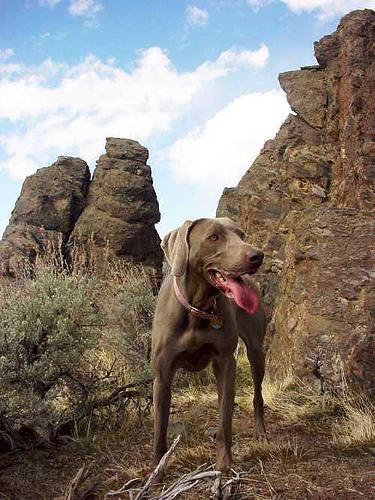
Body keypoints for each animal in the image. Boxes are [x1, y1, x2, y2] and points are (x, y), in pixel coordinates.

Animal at [152, 217, 268, 470]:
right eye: (213, 237)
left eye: (241, 235)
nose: (257, 255)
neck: (198, 309)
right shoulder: (163, 374)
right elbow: (160, 428)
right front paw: (157, 468)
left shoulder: (225, 362)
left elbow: (225, 419)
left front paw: (224, 464)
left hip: (256, 352)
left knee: (257, 394)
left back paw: (261, 431)